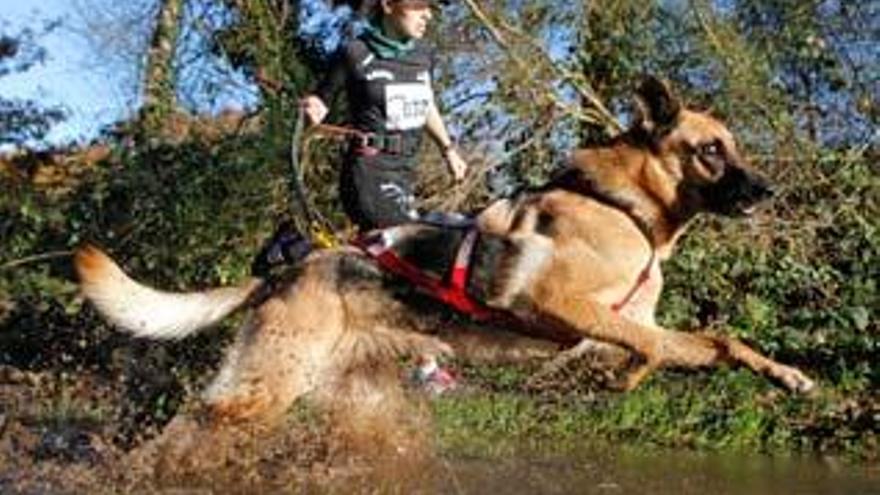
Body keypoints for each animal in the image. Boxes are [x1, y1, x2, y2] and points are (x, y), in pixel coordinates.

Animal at [72, 77, 816, 450]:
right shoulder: (555, 303)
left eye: (733, 147)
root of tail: (289, 267)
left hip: (348, 399)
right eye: (710, 151)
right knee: (191, 426)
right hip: (267, 385)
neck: (623, 206)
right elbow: (657, 346)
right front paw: (631, 377)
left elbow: (714, 341)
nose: (768, 192)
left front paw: (786, 375)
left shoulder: (614, 326)